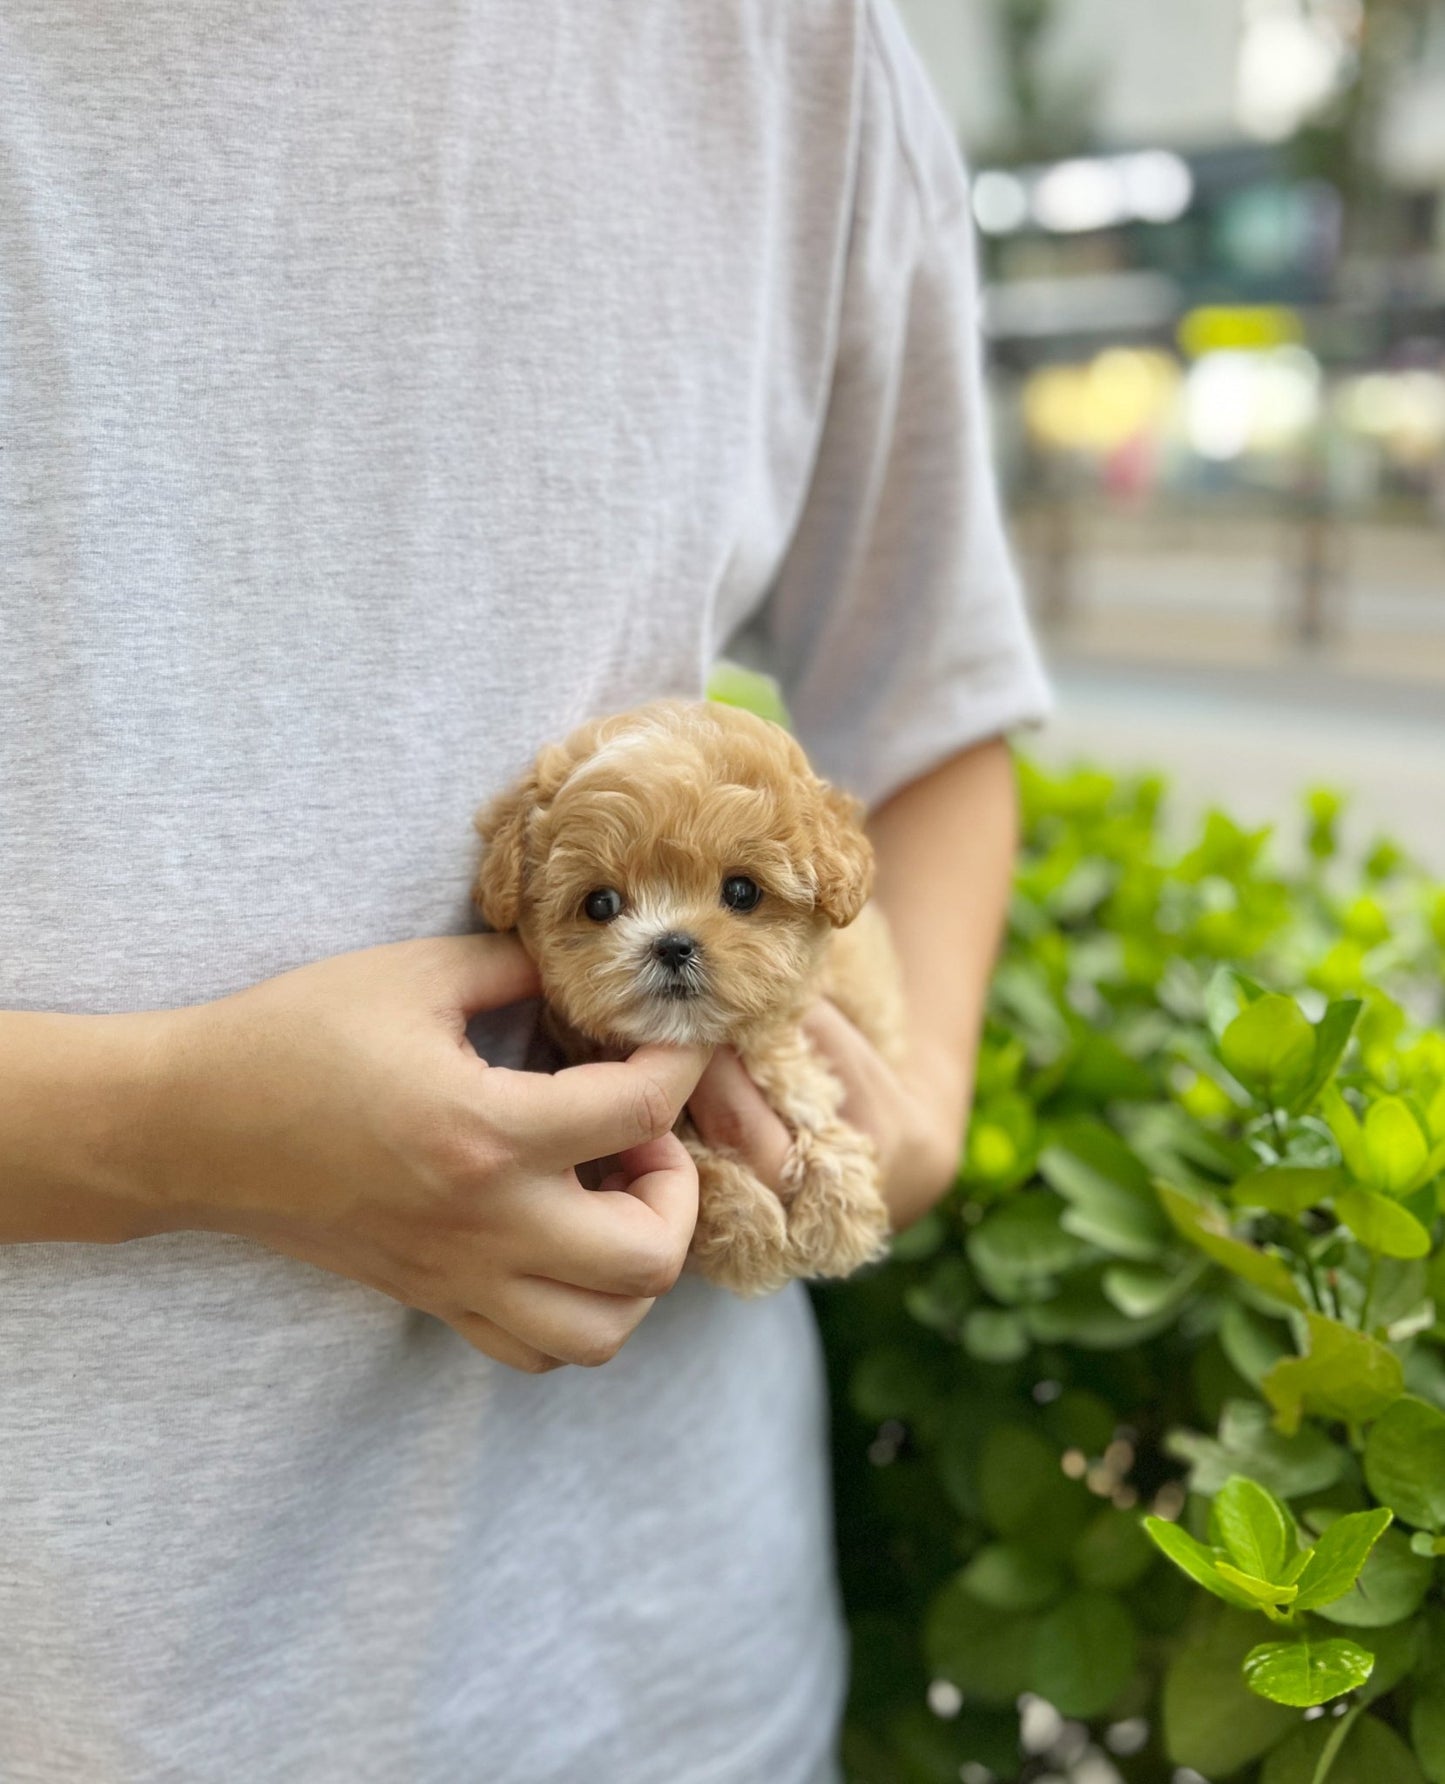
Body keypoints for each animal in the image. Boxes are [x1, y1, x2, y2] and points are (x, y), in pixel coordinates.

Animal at [474, 695, 899, 1298]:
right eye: (600, 903)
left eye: (741, 891)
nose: (673, 944)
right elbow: (697, 1164)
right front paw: (750, 1230)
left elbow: (804, 1093)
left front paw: (840, 1212)